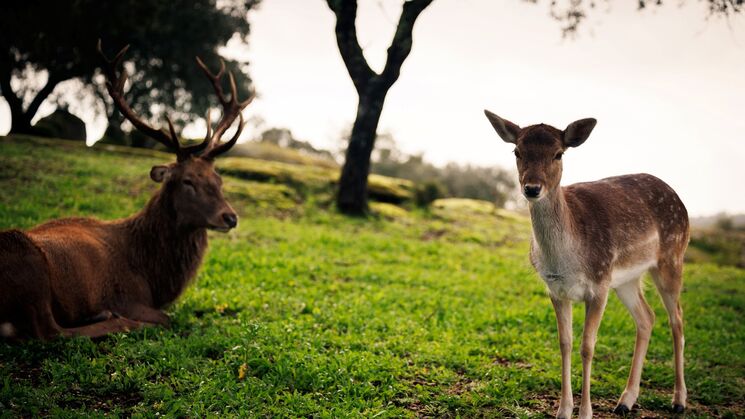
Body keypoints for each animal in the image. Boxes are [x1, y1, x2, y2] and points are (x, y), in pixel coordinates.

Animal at [0, 40, 253, 342]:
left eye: (219, 179)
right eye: (188, 181)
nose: (230, 217)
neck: (154, 276)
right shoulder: (128, 296)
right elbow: (167, 317)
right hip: (28, 264)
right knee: (51, 331)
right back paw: (112, 320)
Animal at [486, 110, 688, 418]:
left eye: (558, 153)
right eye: (517, 151)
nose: (532, 188)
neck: (566, 260)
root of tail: (679, 198)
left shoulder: (599, 285)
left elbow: (587, 346)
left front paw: (585, 412)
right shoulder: (555, 289)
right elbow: (565, 343)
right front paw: (563, 410)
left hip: (672, 257)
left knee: (676, 319)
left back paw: (679, 400)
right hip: (627, 279)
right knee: (647, 317)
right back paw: (626, 400)